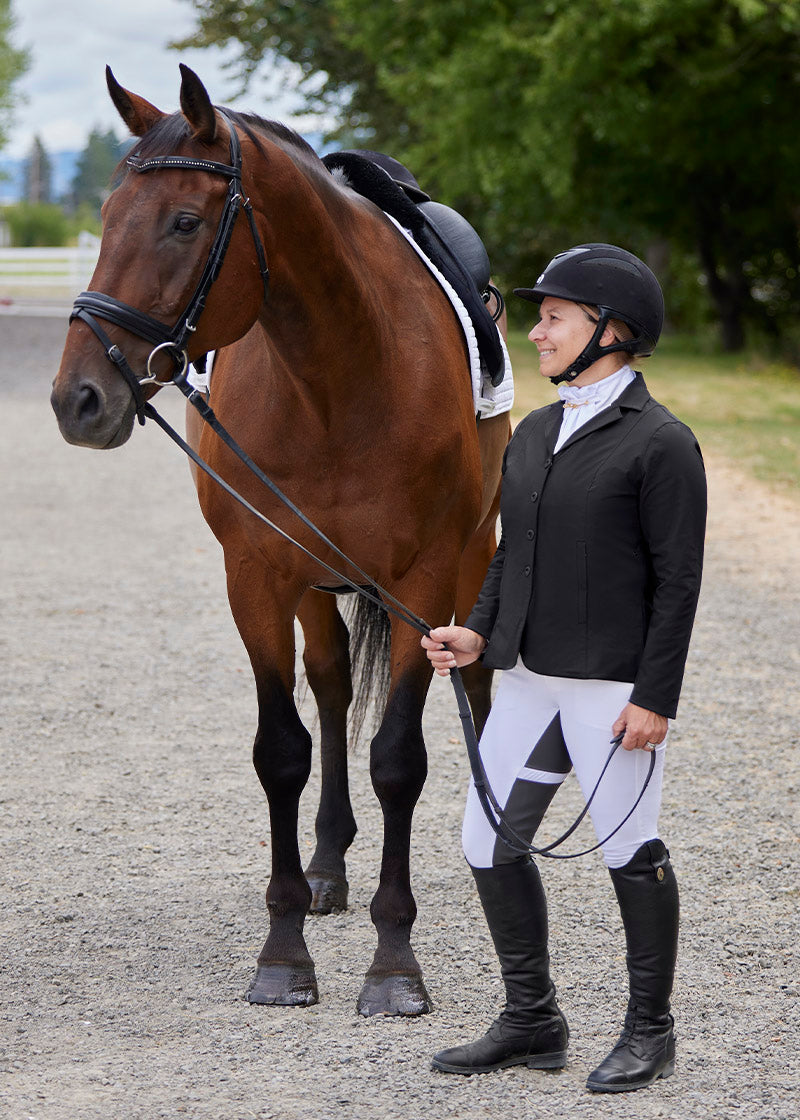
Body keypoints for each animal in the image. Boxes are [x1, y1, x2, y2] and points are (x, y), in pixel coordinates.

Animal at [49, 65, 508, 1021]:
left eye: (185, 223)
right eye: (105, 217)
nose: (79, 399)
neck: (341, 371)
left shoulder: (426, 574)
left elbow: (399, 758)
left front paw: (394, 966)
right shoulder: (256, 574)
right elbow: (281, 751)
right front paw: (285, 951)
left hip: (471, 556)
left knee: (478, 682)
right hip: (313, 583)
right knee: (329, 688)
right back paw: (330, 866)